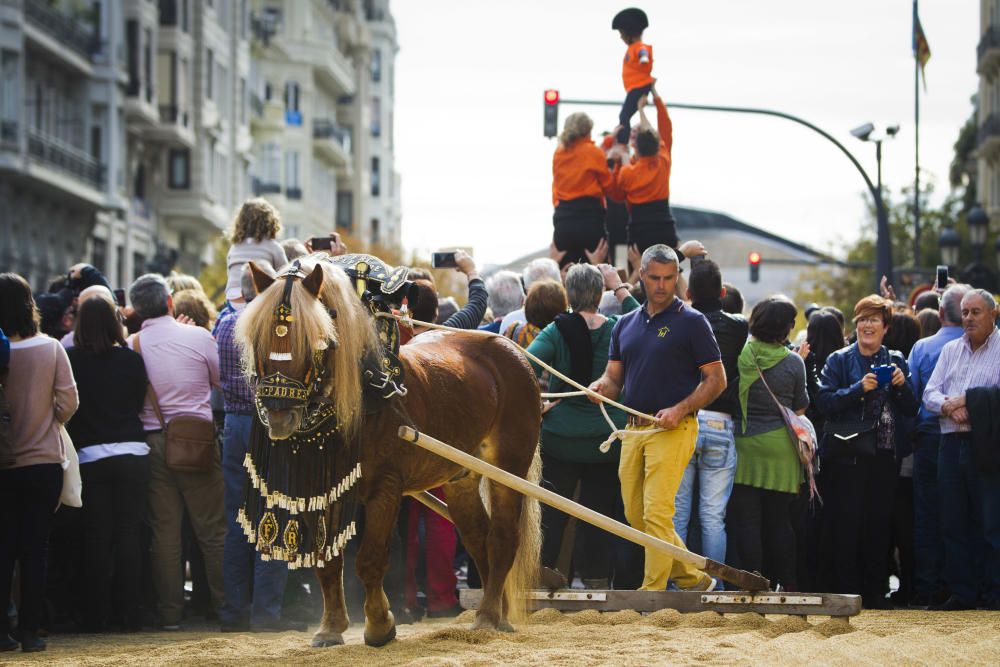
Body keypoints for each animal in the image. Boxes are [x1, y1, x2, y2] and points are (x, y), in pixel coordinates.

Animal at [238, 256, 544, 648]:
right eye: (257, 337)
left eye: (317, 339)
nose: (279, 414)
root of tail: (510, 350)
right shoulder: (320, 489)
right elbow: (326, 560)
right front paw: (331, 627)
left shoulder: (386, 487)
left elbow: (370, 560)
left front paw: (380, 625)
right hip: (461, 476)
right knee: (478, 539)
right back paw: (499, 613)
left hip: (508, 467)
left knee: (503, 538)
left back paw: (488, 616)